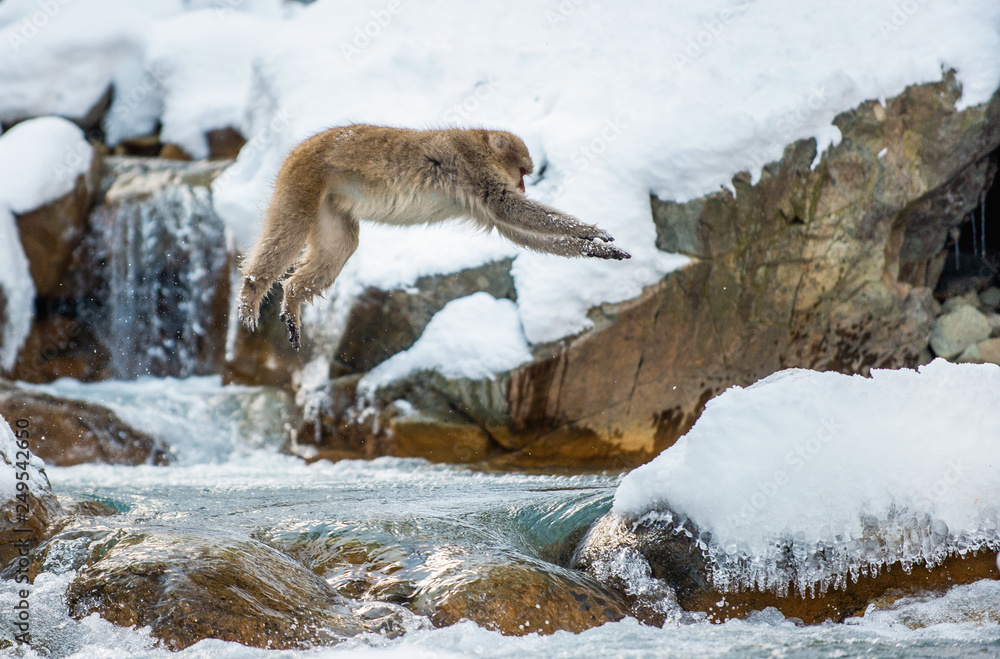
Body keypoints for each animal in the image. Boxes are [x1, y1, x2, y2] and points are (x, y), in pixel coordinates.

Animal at [237, 124, 630, 350]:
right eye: (522, 171)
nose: (523, 185)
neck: (480, 143)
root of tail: (300, 147)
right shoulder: (475, 167)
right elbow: (509, 209)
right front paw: (590, 232)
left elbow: (515, 230)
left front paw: (594, 250)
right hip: (303, 180)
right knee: (290, 230)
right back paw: (252, 290)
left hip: (327, 202)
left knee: (341, 246)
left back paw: (292, 298)